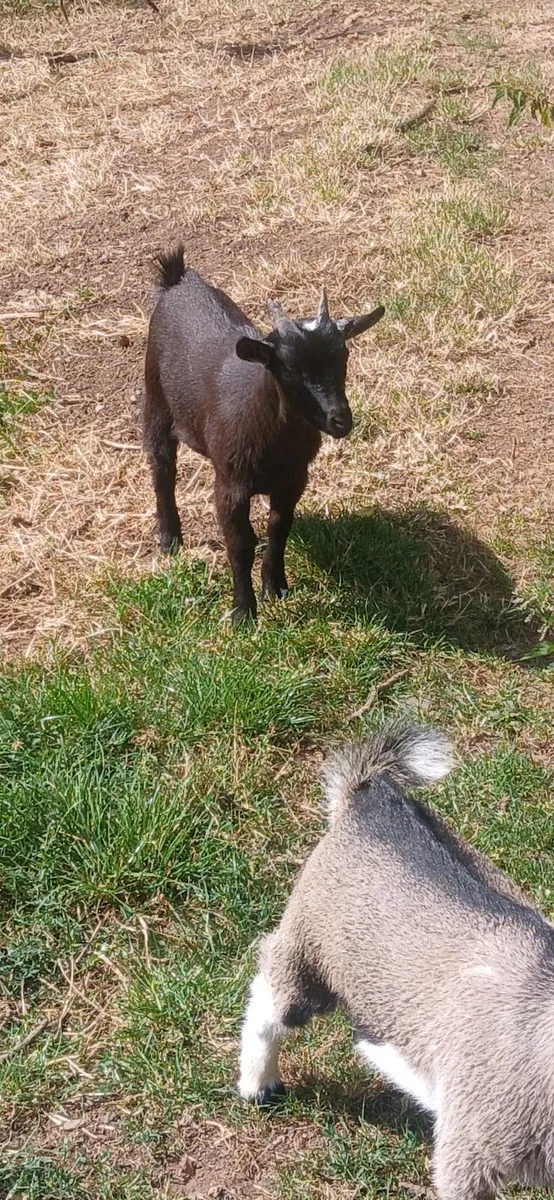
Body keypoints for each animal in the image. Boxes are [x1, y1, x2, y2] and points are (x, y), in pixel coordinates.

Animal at [143, 247, 384, 622]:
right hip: (154, 396)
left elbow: (278, 529)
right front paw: (243, 611)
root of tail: (178, 280)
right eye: (289, 369)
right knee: (162, 468)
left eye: (343, 356)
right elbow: (241, 543)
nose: (340, 419)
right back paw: (169, 540)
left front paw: (276, 587)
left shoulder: (294, 480)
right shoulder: (230, 485)